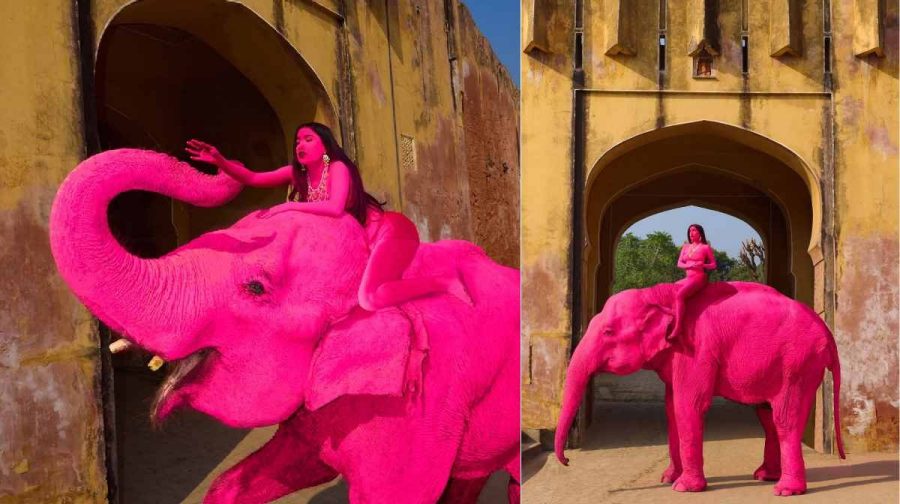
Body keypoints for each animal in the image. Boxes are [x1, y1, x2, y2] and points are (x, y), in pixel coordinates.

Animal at [555, 281, 845, 497]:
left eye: (607, 332)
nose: (567, 461)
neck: (660, 295)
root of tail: (828, 333)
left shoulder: (696, 351)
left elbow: (688, 405)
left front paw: (683, 487)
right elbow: (671, 408)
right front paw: (667, 479)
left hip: (798, 364)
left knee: (785, 418)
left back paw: (785, 490)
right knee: (767, 415)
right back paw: (765, 476)